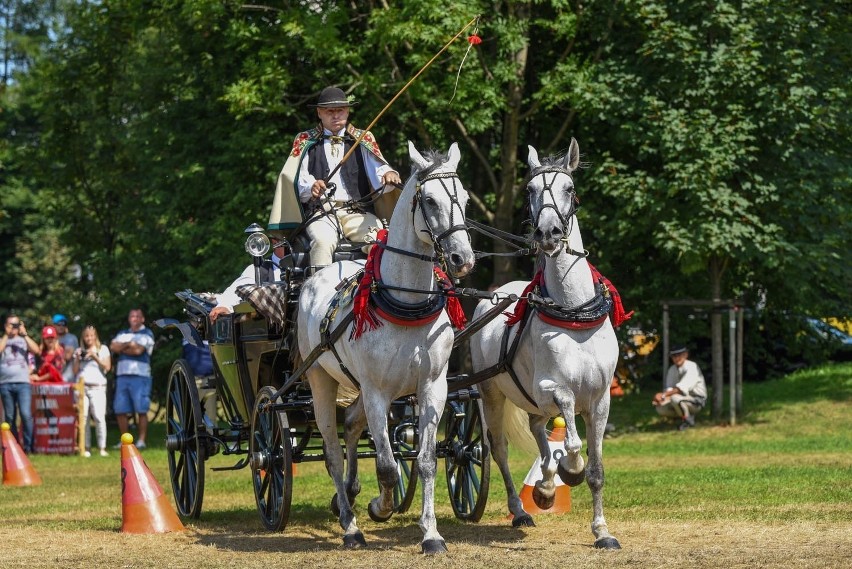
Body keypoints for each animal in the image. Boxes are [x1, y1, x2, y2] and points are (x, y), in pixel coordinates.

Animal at [298, 140, 472, 552]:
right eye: (429, 200)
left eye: (465, 199)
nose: (463, 259)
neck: (406, 302)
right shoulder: (378, 392)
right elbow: (388, 466)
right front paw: (381, 506)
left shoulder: (432, 387)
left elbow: (424, 461)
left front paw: (431, 535)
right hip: (320, 379)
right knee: (332, 450)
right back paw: (350, 524)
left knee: (350, 425)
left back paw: (347, 494)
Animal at [472, 140, 620, 548]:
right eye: (530, 190)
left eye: (570, 189)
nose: (549, 233)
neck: (574, 315)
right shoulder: (551, 387)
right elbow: (570, 441)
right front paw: (570, 469)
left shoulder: (601, 400)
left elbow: (596, 469)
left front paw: (602, 531)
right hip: (492, 393)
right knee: (500, 448)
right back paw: (523, 508)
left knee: (539, 428)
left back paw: (546, 488)